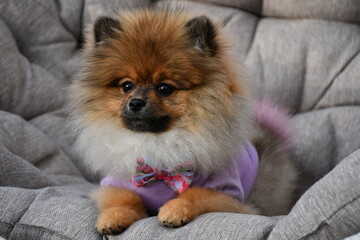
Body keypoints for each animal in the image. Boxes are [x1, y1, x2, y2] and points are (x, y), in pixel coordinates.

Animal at [67, 7, 298, 236]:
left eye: (164, 88)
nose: (135, 102)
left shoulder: (229, 194)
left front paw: (174, 211)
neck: (157, 146)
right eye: (127, 86)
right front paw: (112, 217)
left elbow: (196, 194)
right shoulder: (115, 184)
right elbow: (122, 199)